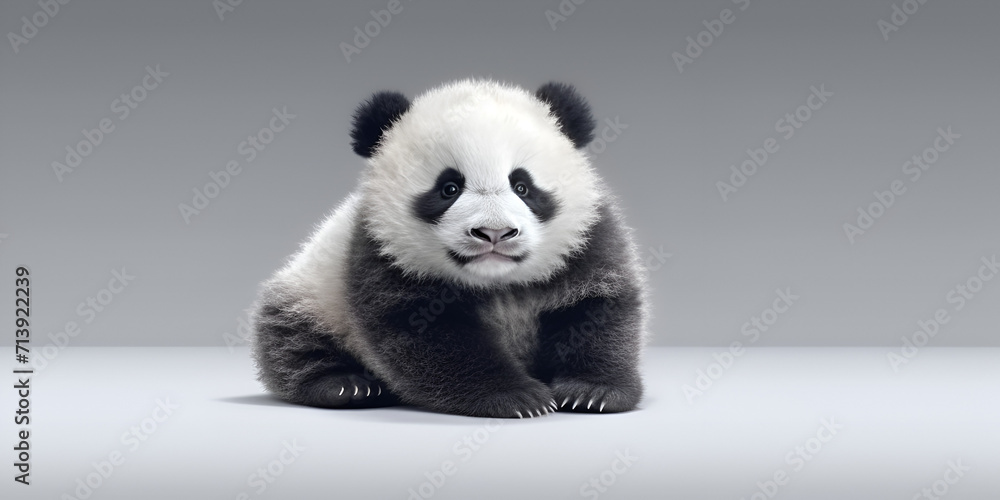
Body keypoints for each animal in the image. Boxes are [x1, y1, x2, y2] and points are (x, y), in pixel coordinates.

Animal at [251, 79, 647, 418]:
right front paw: (516, 397)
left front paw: (592, 391)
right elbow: (432, 339)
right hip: (313, 290)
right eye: (449, 188)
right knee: (294, 340)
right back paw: (346, 385)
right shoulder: (381, 253)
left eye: (522, 186)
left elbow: (597, 309)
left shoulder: (587, 238)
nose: (494, 233)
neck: (498, 282)